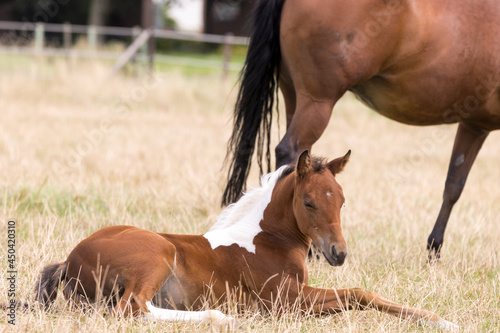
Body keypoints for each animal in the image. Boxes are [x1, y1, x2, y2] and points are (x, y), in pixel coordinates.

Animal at [32, 150, 458, 330]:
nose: (338, 254)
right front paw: (442, 321)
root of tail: (69, 261)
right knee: (133, 308)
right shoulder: (286, 301)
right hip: (158, 252)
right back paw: (224, 317)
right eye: (309, 202)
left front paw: (440, 319)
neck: (267, 238)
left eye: (342, 200)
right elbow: (358, 293)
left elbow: (361, 295)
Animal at [223, 0, 500, 256]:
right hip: (318, 102)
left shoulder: (474, 125)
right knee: (289, 150)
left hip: (293, 96)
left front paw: (434, 248)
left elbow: (454, 185)